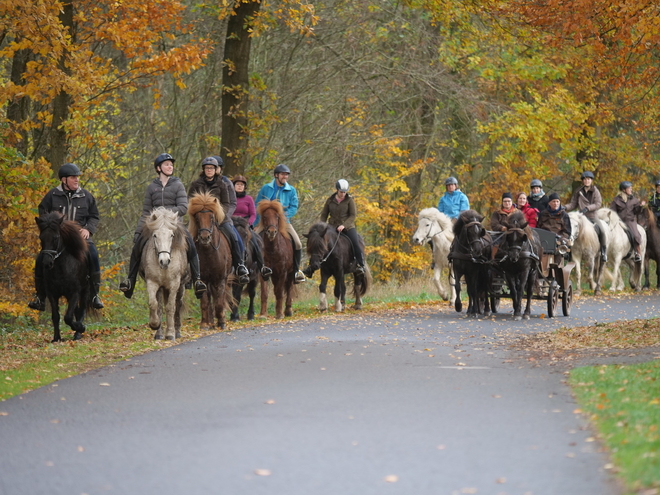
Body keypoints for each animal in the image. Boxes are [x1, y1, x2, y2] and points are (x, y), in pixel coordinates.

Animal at [35, 211, 94, 342]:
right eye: (41, 238)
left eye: (56, 237)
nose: (47, 263)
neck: (61, 268)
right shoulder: (52, 293)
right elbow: (56, 316)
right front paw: (56, 338)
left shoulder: (75, 292)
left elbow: (68, 317)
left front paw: (80, 328)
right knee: (76, 311)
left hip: (85, 290)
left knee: (81, 310)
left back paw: (78, 333)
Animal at [141, 207, 189, 340]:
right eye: (155, 235)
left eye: (171, 235)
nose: (165, 261)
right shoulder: (152, 282)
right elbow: (154, 304)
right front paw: (154, 324)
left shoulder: (174, 284)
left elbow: (171, 307)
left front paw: (170, 334)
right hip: (162, 287)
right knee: (160, 306)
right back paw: (159, 334)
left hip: (180, 286)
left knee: (177, 305)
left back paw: (177, 332)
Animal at [188, 193, 235, 330]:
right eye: (197, 218)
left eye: (212, 217)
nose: (205, 237)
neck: (209, 252)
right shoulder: (203, 279)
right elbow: (204, 302)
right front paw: (204, 324)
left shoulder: (220, 279)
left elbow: (219, 302)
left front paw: (222, 322)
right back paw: (210, 321)